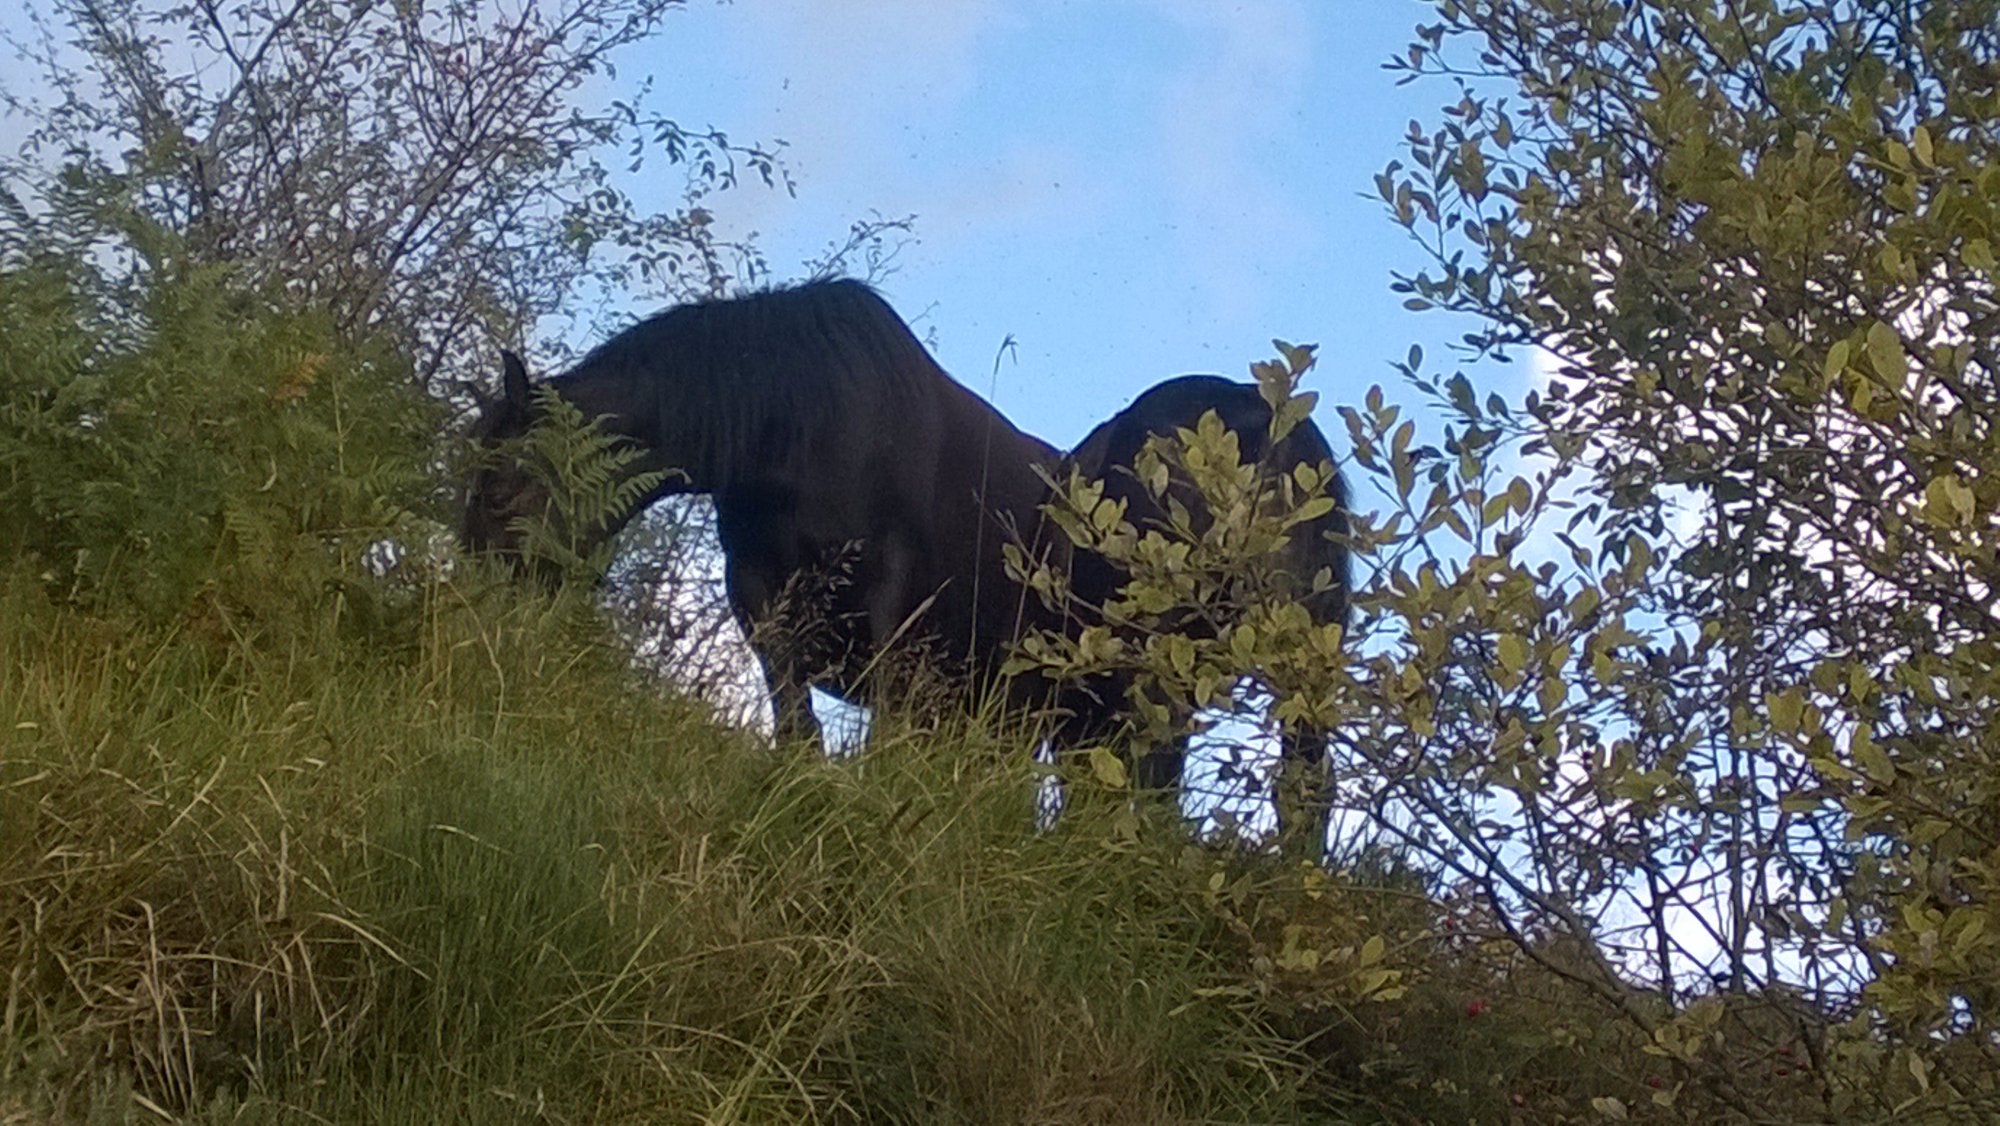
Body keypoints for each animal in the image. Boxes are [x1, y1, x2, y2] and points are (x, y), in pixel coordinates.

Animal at [462, 280, 1064, 748]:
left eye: (499, 494)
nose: (477, 617)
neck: (801, 431)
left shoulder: (893, 607)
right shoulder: (759, 596)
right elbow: (797, 728)